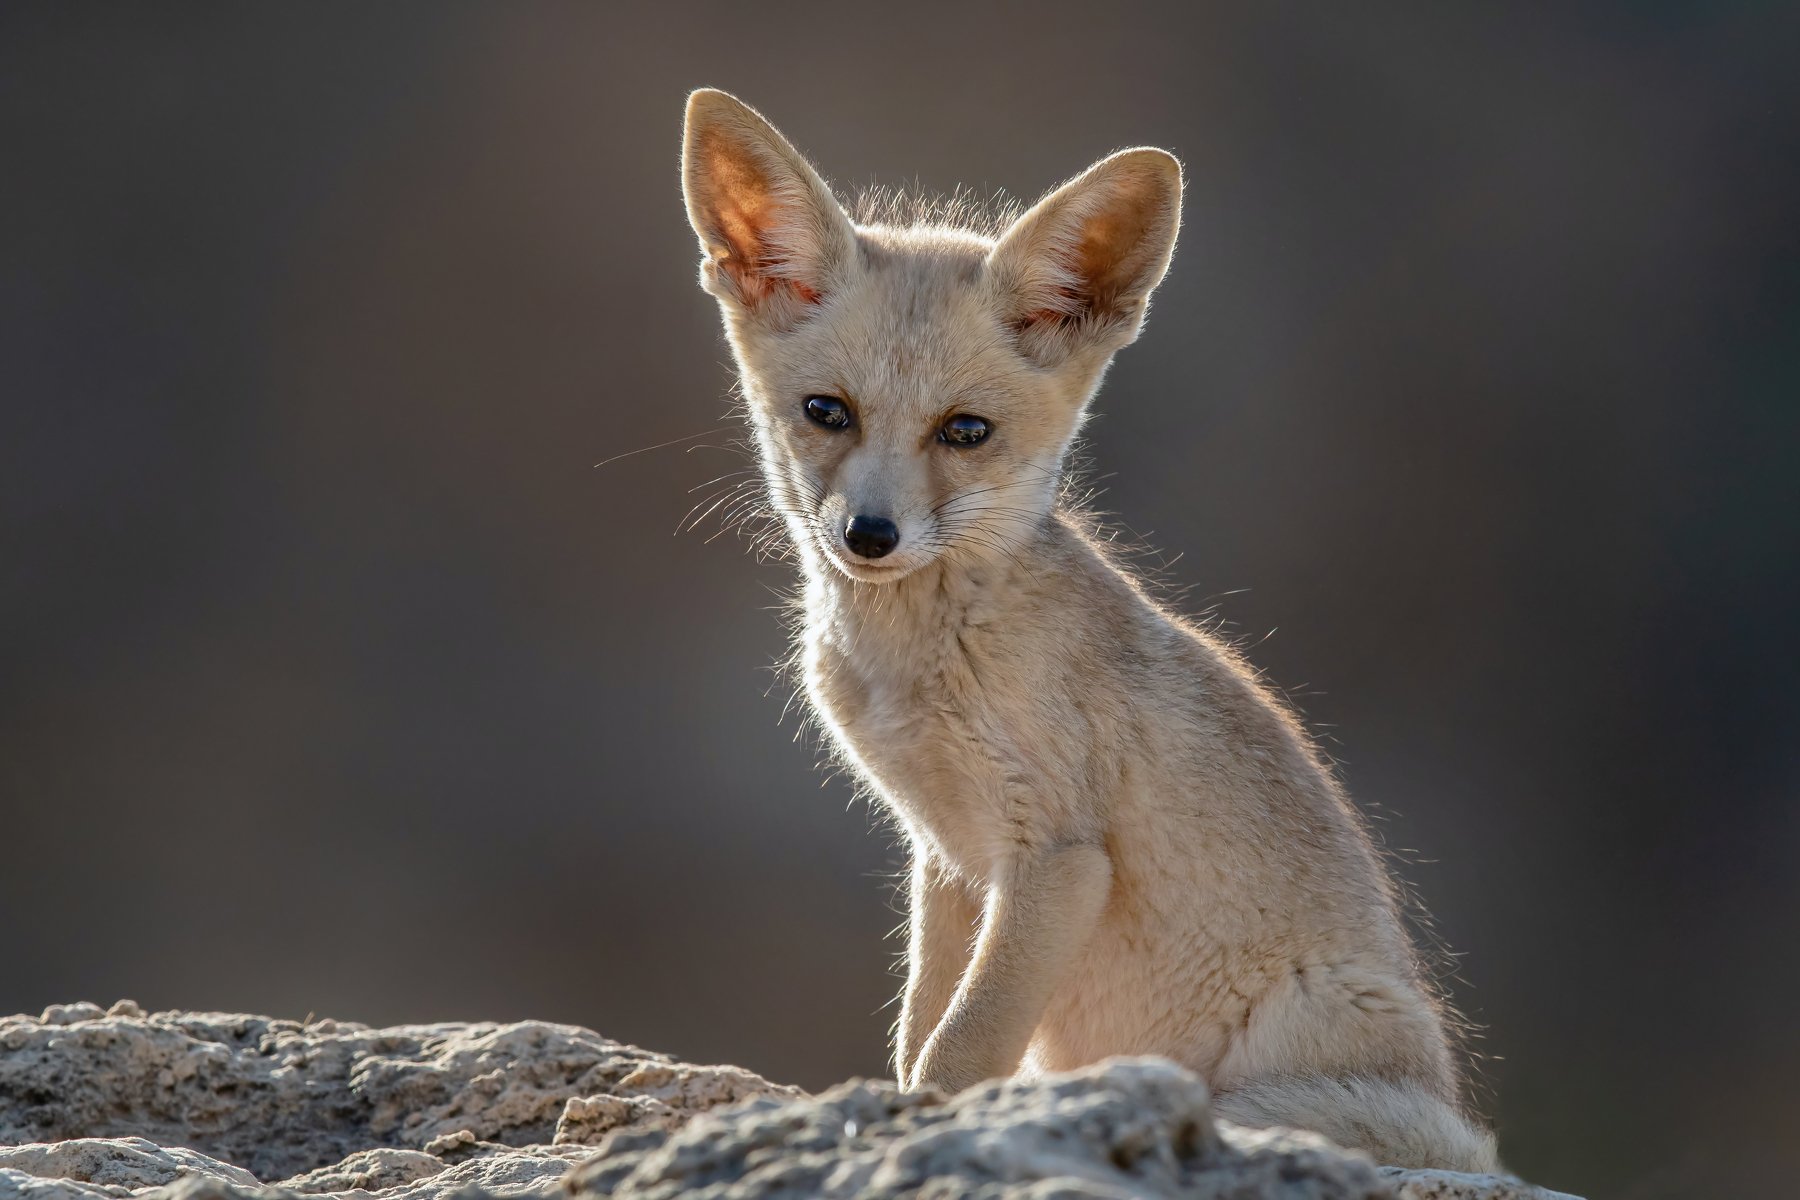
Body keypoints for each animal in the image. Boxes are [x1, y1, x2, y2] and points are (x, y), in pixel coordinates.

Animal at [680, 86, 1497, 1173]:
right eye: (827, 412)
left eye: (965, 432)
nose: (870, 534)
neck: (919, 670)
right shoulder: (947, 858)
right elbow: (916, 1033)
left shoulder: (1057, 855)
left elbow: (958, 1049)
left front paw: (917, 1131)